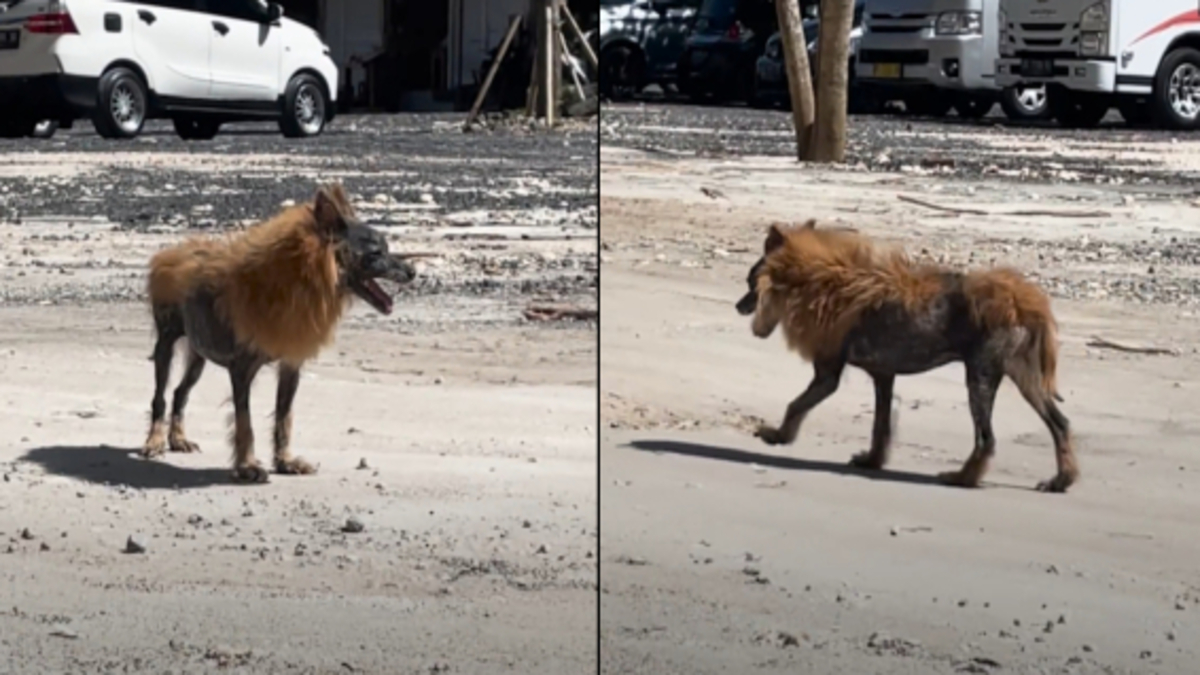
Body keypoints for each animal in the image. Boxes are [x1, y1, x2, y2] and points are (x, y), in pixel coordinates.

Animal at [142, 181, 422, 480]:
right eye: (376, 253)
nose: (413, 272)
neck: (304, 277)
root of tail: (172, 253)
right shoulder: (241, 370)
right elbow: (245, 422)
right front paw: (248, 466)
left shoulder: (291, 366)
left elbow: (283, 417)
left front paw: (285, 461)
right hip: (165, 344)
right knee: (160, 396)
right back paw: (154, 441)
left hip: (198, 356)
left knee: (179, 392)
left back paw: (178, 439)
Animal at [729, 218, 1080, 492]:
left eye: (749, 281)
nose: (738, 306)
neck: (822, 278)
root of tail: (1020, 298)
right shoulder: (883, 376)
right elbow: (880, 426)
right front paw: (872, 460)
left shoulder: (827, 375)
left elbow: (795, 406)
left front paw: (778, 435)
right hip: (1024, 378)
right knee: (1060, 424)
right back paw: (1061, 480)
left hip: (979, 378)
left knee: (986, 438)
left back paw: (962, 478)